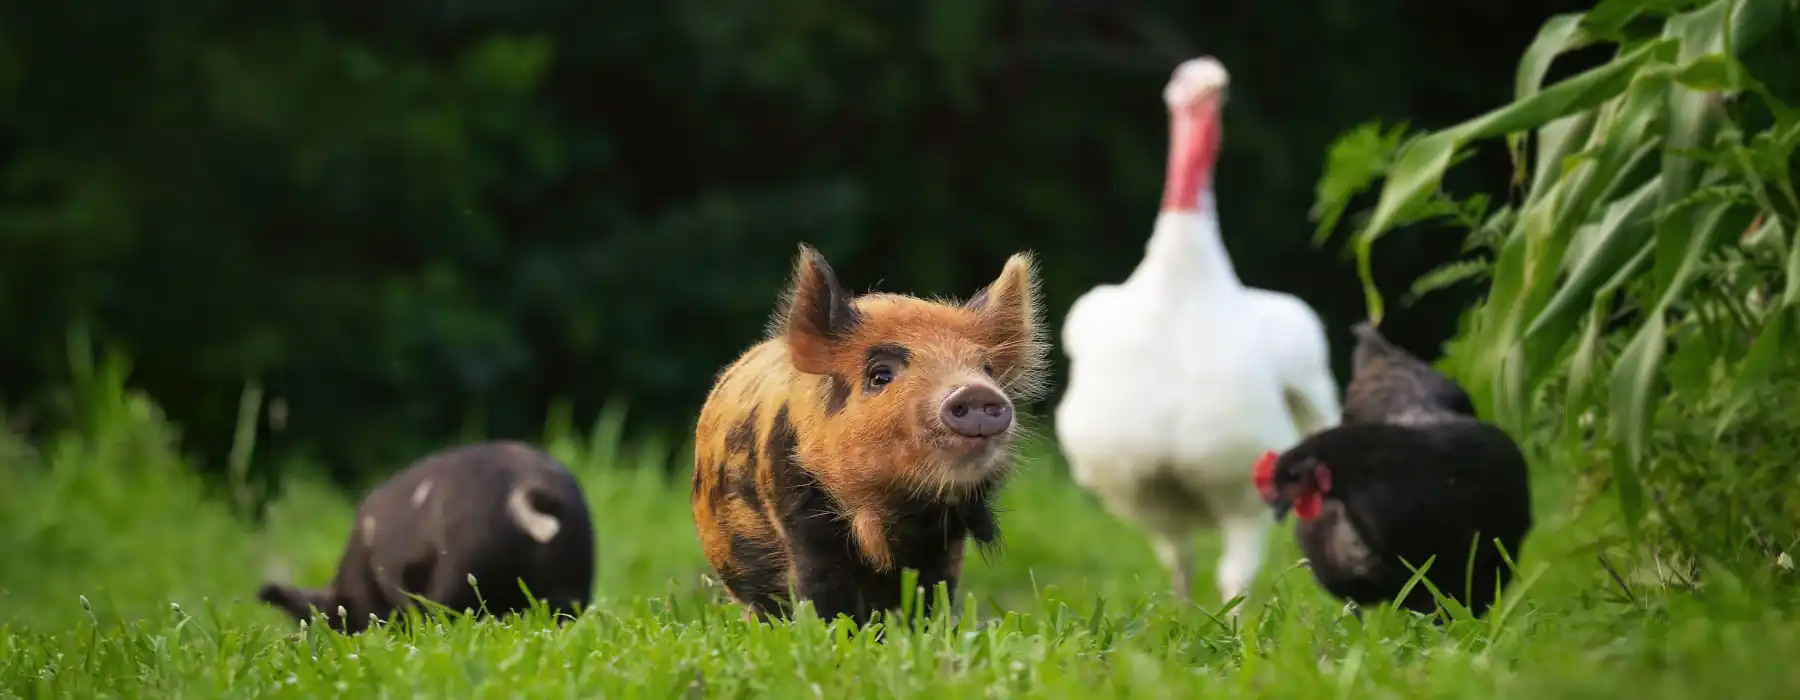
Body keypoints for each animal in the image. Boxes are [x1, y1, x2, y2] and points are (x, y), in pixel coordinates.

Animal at [690, 243, 1051, 626]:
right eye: (880, 375)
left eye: (987, 369)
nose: (974, 390)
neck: (901, 510)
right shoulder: (801, 517)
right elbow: (822, 594)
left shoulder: (947, 539)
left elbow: (932, 593)